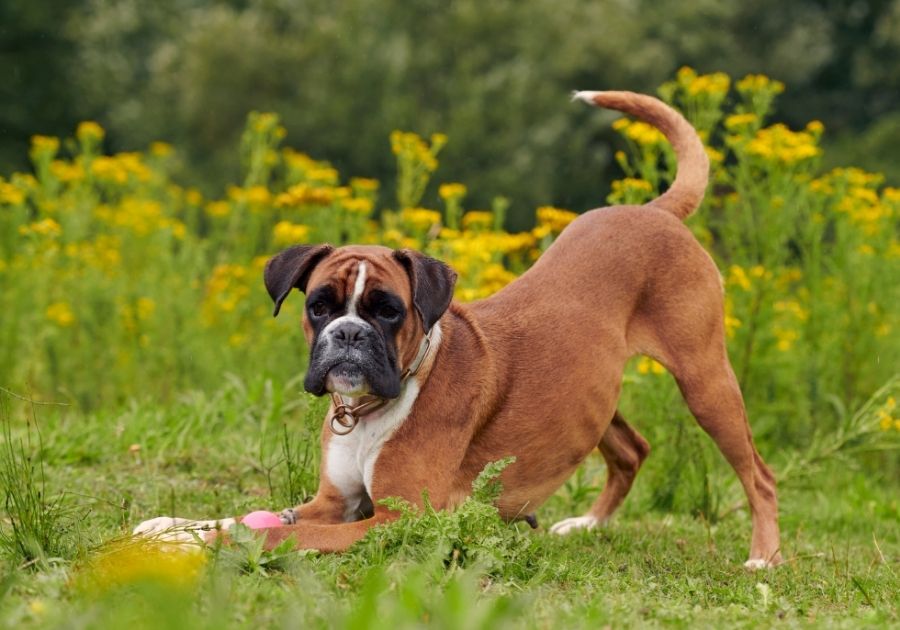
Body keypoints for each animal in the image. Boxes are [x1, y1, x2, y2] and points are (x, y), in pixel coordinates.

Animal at [134, 91, 780, 572]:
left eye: (387, 311)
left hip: (706, 380)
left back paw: (764, 557)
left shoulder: (395, 521)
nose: (348, 335)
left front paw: (196, 544)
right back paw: (586, 525)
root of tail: (655, 211)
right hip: (594, 395)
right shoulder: (333, 503)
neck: (372, 407)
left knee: (760, 475)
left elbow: (270, 534)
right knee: (632, 449)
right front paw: (169, 526)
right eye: (319, 306)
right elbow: (250, 514)